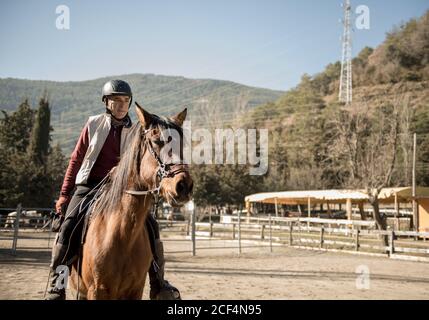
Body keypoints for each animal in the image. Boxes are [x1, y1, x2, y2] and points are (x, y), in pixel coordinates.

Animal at [69, 103, 193, 300]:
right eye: (157, 141)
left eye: (182, 144)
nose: (184, 185)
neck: (122, 234)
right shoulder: (97, 290)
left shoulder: (136, 289)